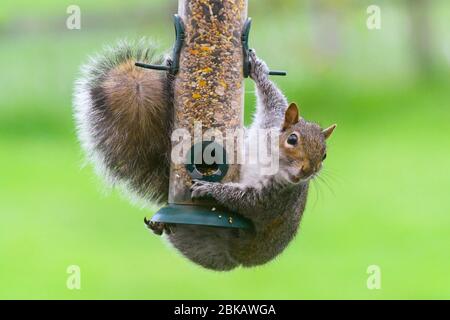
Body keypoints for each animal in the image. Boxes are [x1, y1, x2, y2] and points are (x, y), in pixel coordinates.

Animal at [73, 39, 334, 270]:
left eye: (324, 155)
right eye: (292, 139)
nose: (306, 172)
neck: (269, 155)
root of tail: (238, 261)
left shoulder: (275, 197)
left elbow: (246, 201)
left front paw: (209, 188)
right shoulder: (270, 120)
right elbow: (273, 97)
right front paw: (257, 68)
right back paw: (161, 225)